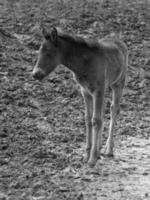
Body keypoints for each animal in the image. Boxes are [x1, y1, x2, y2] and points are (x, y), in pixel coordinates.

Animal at [31, 27, 127, 166]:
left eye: (49, 53)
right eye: (39, 52)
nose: (35, 74)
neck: (84, 63)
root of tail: (120, 41)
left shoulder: (98, 90)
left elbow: (96, 120)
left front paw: (92, 159)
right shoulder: (85, 91)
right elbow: (88, 119)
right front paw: (87, 155)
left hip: (118, 83)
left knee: (114, 109)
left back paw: (108, 150)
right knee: (103, 112)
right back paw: (100, 148)